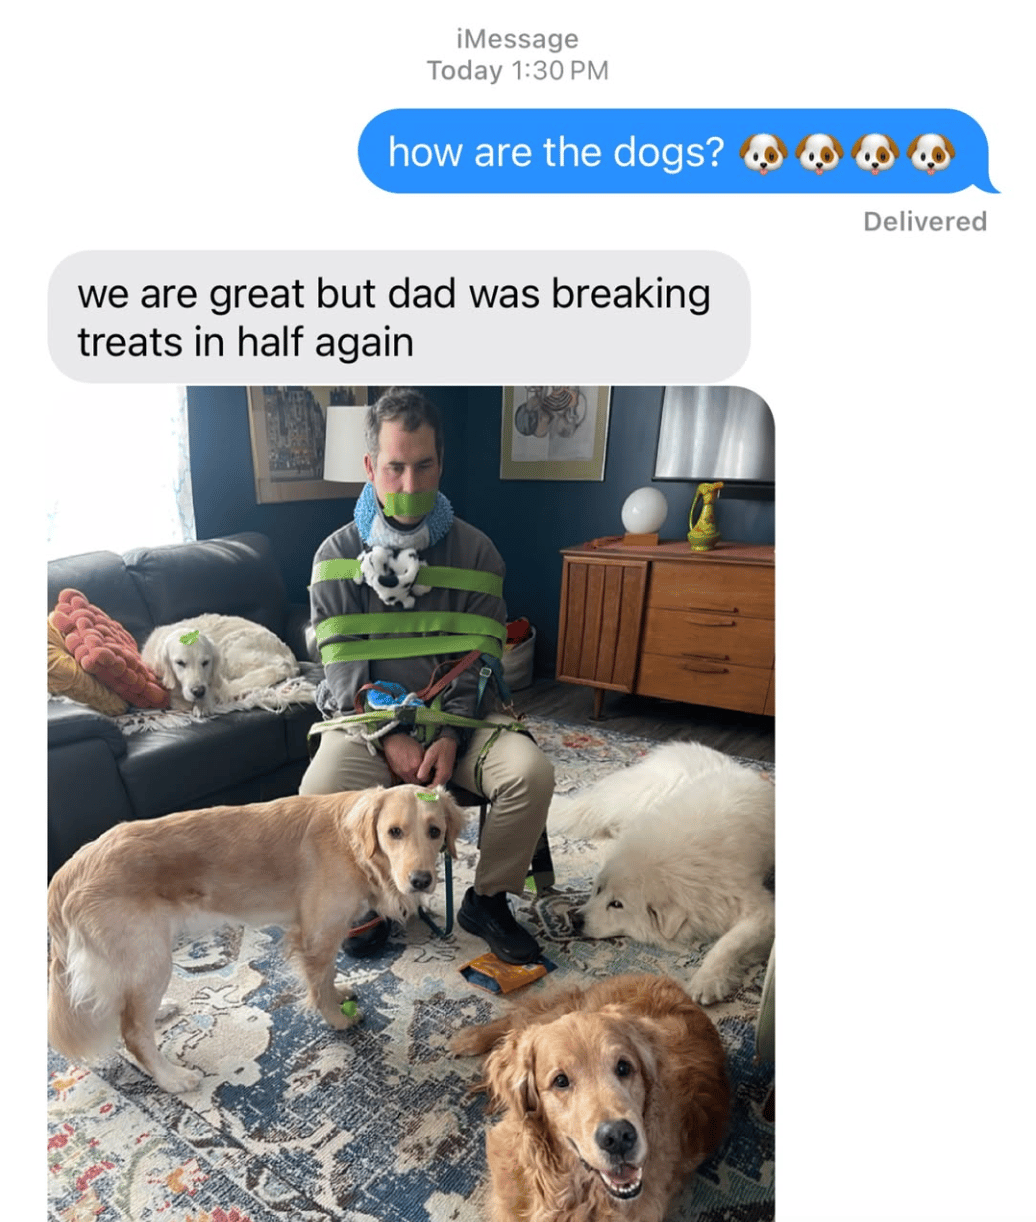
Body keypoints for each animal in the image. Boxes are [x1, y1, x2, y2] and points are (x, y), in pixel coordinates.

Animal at [47, 785, 465, 1092]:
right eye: (394, 832)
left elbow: (329, 976)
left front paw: (340, 994)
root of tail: (70, 869)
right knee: (133, 1032)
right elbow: (320, 982)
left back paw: (162, 1011)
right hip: (151, 957)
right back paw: (171, 1078)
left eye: (435, 831)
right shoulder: (318, 934)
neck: (352, 849)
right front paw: (336, 1017)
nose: (422, 880)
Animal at [142, 613, 299, 712]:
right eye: (180, 663)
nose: (198, 691)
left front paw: (203, 704)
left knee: (279, 668)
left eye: (206, 662)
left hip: (230, 652)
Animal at [451, 974, 730, 1222]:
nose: (618, 1137)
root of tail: (665, 979)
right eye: (560, 1081)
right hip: (555, 1012)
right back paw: (469, 1038)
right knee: (520, 1017)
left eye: (623, 1067)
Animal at [549, 742, 775, 1004]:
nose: (574, 919)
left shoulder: (759, 911)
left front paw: (707, 980)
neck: (673, 865)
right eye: (598, 890)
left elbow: (729, 942)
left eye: (617, 905)